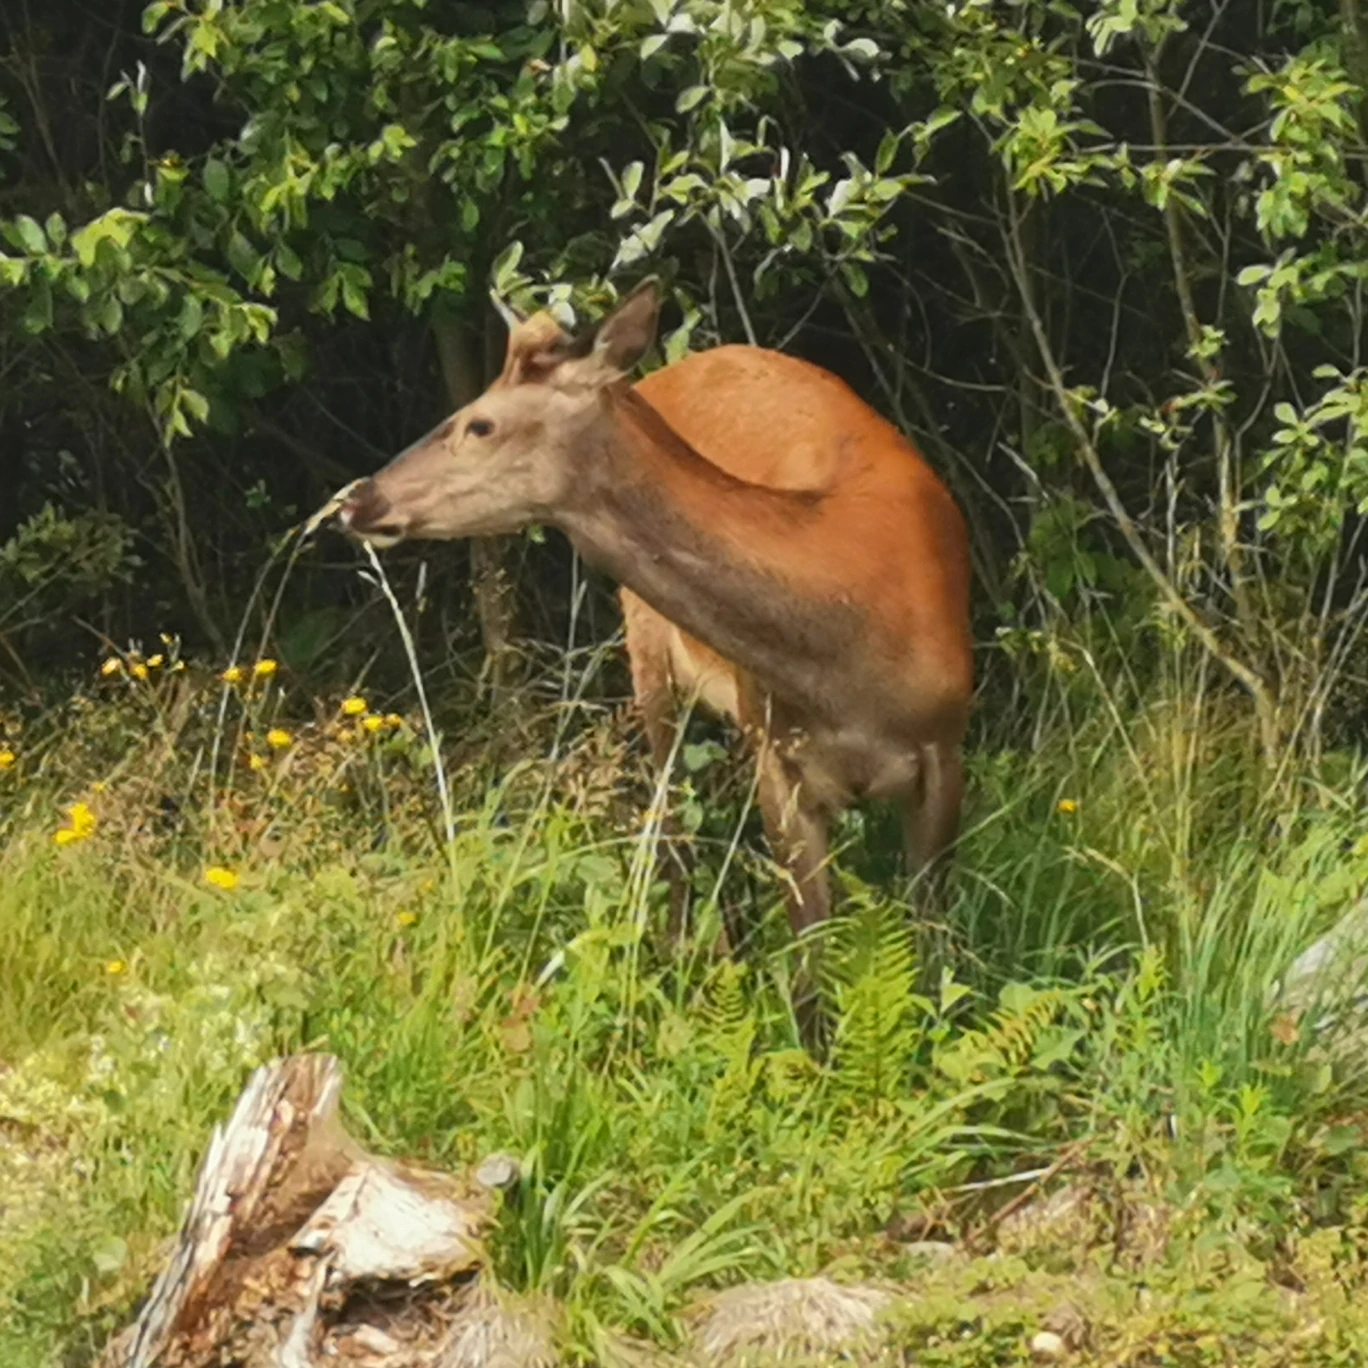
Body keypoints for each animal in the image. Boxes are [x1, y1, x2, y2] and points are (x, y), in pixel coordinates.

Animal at [335, 279, 973, 1028]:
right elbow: (808, 969)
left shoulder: (946, 746)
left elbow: (932, 952)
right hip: (647, 646)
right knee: (670, 819)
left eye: (479, 424)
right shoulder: (778, 757)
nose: (356, 498)